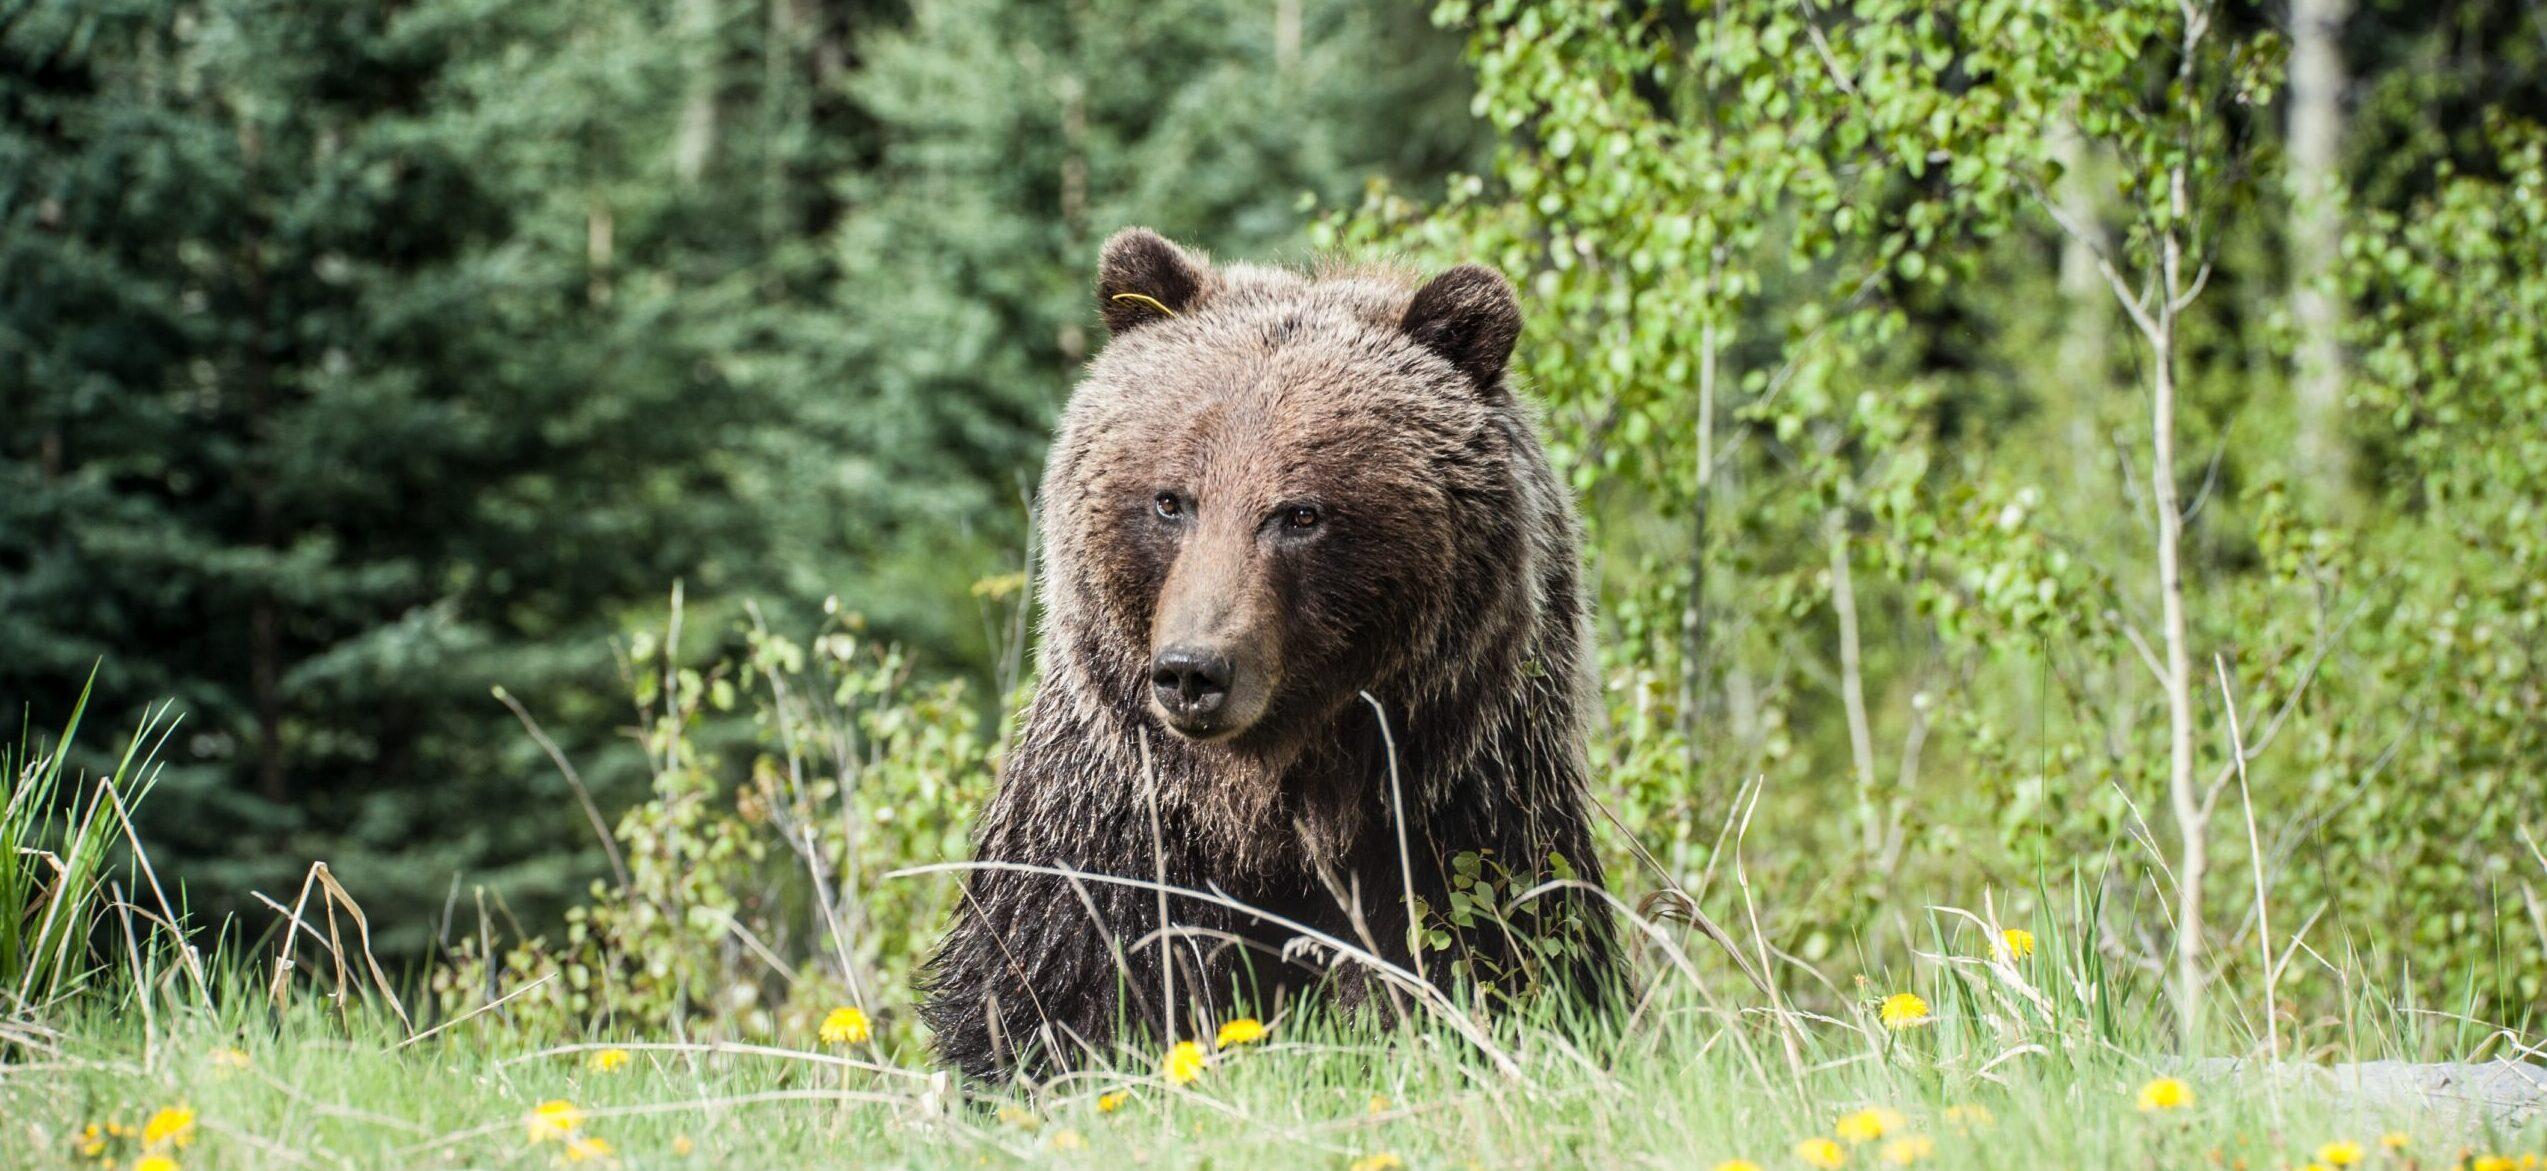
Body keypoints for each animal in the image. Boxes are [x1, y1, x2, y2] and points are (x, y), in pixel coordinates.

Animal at [927, 229, 1619, 1079]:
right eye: (1171, 500)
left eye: (1299, 514)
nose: (1192, 671)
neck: (1270, 800)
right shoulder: (1116, 821)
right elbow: (1055, 987)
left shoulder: (1453, 810)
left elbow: (1490, 958)